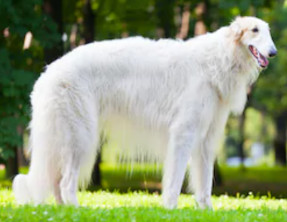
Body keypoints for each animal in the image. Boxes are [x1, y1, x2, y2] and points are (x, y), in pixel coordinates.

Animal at [12, 16, 276, 209]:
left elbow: (204, 186)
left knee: (56, 181)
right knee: (66, 183)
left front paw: (206, 211)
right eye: (254, 30)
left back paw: (62, 210)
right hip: (81, 137)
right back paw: (77, 209)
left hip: (65, 139)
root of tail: (48, 74)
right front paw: (170, 209)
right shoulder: (183, 132)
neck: (218, 59)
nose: (273, 52)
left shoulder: (206, 139)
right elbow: (174, 180)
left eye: (268, 31)